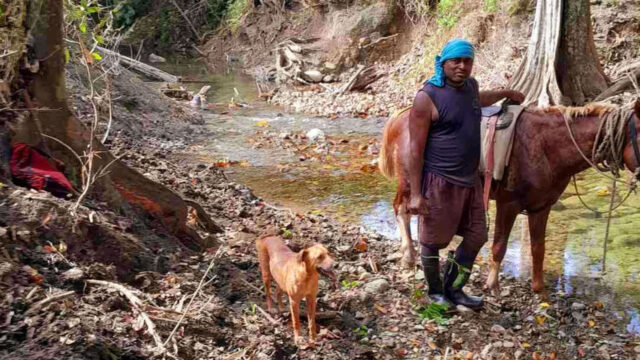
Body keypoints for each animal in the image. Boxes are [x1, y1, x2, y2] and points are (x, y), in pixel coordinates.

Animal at [378, 100, 640, 292]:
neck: (546, 146)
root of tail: (402, 116)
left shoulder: (541, 207)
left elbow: (538, 248)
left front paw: (539, 289)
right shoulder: (508, 204)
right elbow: (499, 246)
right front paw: (492, 285)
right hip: (410, 182)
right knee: (401, 209)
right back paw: (408, 256)